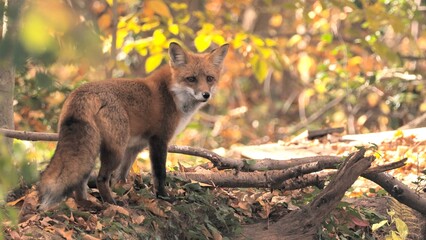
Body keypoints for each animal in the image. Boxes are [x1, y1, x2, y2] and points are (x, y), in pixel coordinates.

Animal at [38, 42, 228, 209]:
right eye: (191, 79)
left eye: (210, 78)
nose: (206, 95)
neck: (171, 93)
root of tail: (82, 93)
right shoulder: (159, 140)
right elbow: (159, 174)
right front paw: (163, 197)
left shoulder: (136, 146)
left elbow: (121, 176)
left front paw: (124, 190)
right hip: (116, 150)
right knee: (101, 178)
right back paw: (111, 203)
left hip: (94, 149)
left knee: (81, 180)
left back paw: (85, 203)